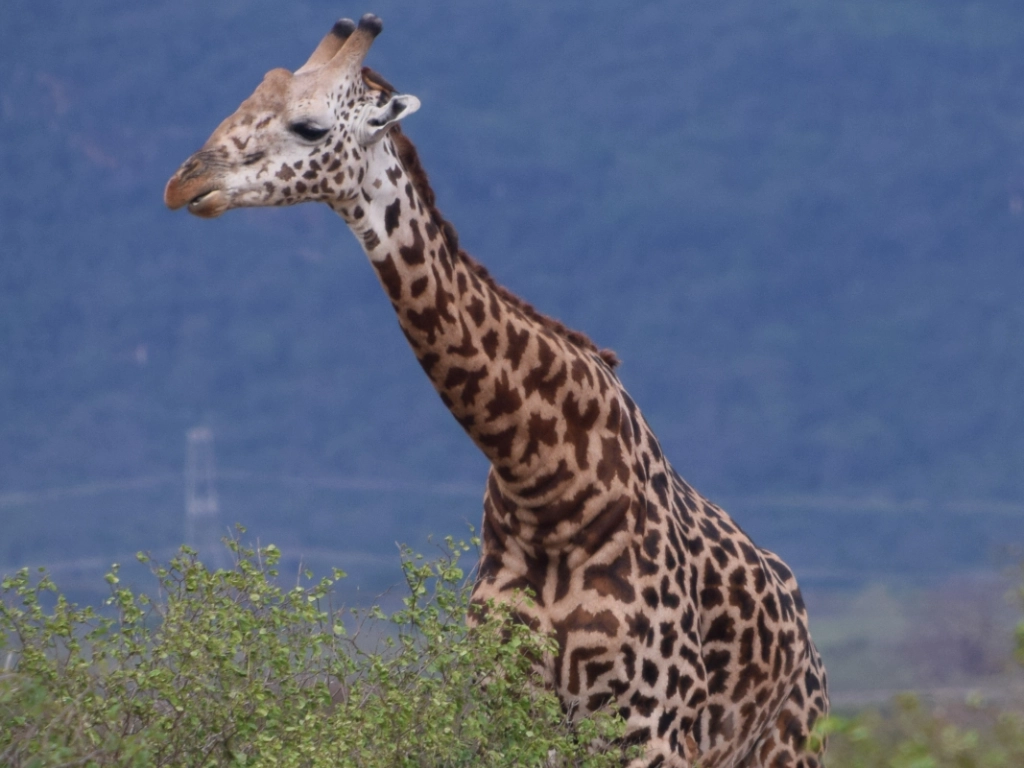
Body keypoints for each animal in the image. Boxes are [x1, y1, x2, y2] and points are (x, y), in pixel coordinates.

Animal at [164, 15, 828, 768]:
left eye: (308, 126)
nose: (185, 183)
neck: (545, 479)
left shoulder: (652, 724)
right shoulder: (510, 712)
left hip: (787, 743)